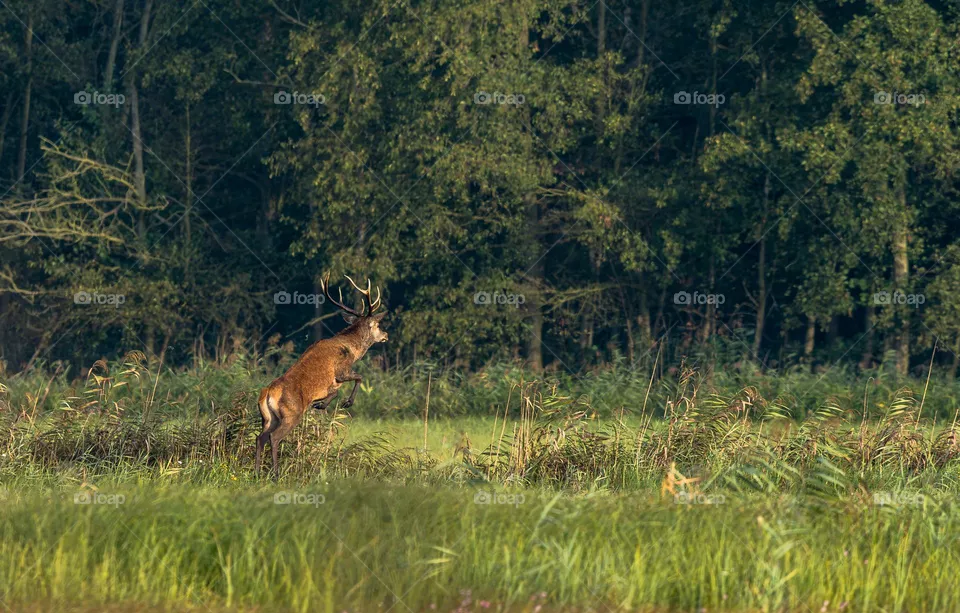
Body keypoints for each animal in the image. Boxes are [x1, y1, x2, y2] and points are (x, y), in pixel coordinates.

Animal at [255, 274, 388, 477]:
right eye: (378, 325)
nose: (386, 335)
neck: (352, 350)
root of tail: (268, 394)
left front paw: (321, 405)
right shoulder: (341, 372)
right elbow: (358, 378)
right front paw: (344, 403)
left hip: (269, 418)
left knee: (259, 438)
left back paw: (256, 472)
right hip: (291, 413)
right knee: (274, 437)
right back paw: (275, 474)